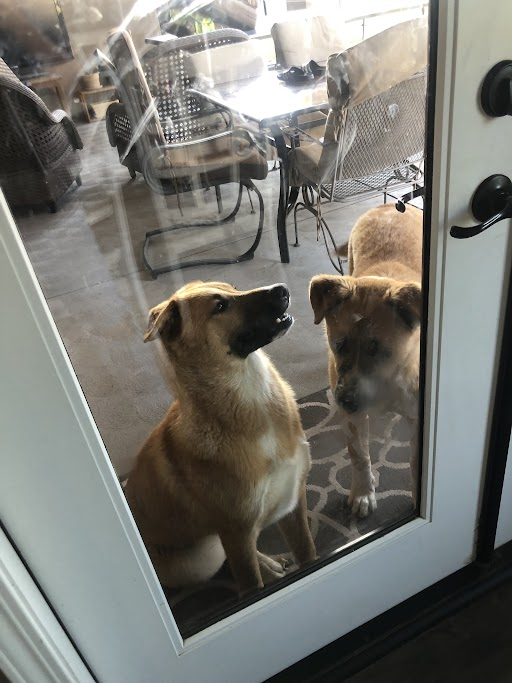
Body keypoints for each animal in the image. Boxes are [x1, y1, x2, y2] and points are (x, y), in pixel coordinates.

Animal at [124, 281, 316, 595]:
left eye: (233, 288)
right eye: (220, 306)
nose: (282, 289)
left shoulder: (293, 504)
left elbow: (308, 553)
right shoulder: (236, 532)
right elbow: (251, 584)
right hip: (206, 554)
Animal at [309, 204, 422, 517]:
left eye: (379, 349)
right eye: (338, 345)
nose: (344, 400)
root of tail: (389, 205)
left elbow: (415, 463)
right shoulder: (353, 419)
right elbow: (359, 455)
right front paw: (363, 493)